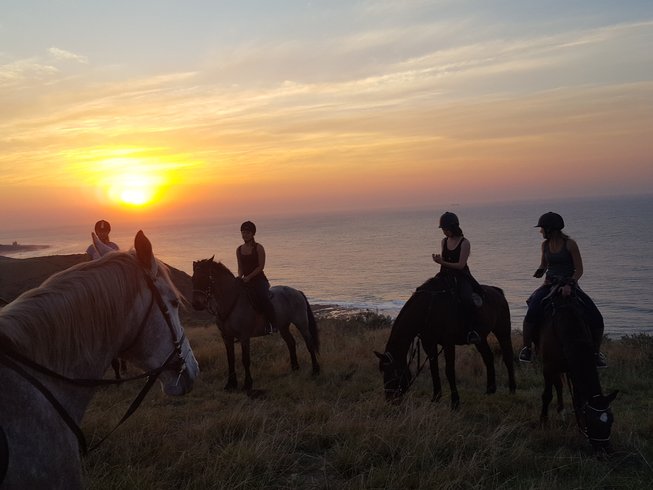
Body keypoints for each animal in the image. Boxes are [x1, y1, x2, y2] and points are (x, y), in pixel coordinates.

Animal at [191, 258, 318, 392]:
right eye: (193, 279)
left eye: (204, 278)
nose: (196, 304)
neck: (232, 301)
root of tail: (296, 292)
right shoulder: (226, 337)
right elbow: (230, 359)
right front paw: (231, 384)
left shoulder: (244, 337)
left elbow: (245, 360)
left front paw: (248, 384)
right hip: (283, 327)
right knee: (291, 343)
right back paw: (295, 368)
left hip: (302, 323)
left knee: (309, 344)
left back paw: (315, 370)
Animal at [374, 276, 516, 410]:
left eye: (394, 374)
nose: (391, 401)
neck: (428, 308)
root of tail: (497, 292)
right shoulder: (429, 344)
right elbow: (434, 369)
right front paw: (436, 397)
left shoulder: (448, 343)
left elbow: (449, 371)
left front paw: (455, 403)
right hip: (480, 338)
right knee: (488, 357)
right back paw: (490, 389)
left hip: (502, 332)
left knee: (508, 357)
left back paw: (512, 390)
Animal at [536, 288, 616, 452]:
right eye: (593, 421)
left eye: (611, 421)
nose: (605, 450)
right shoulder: (548, 368)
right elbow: (547, 395)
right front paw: (543, 420)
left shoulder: (572, 369)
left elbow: (578, 400)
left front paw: (580, 431)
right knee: (557, 386)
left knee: (559, 386)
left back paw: (561, 411)